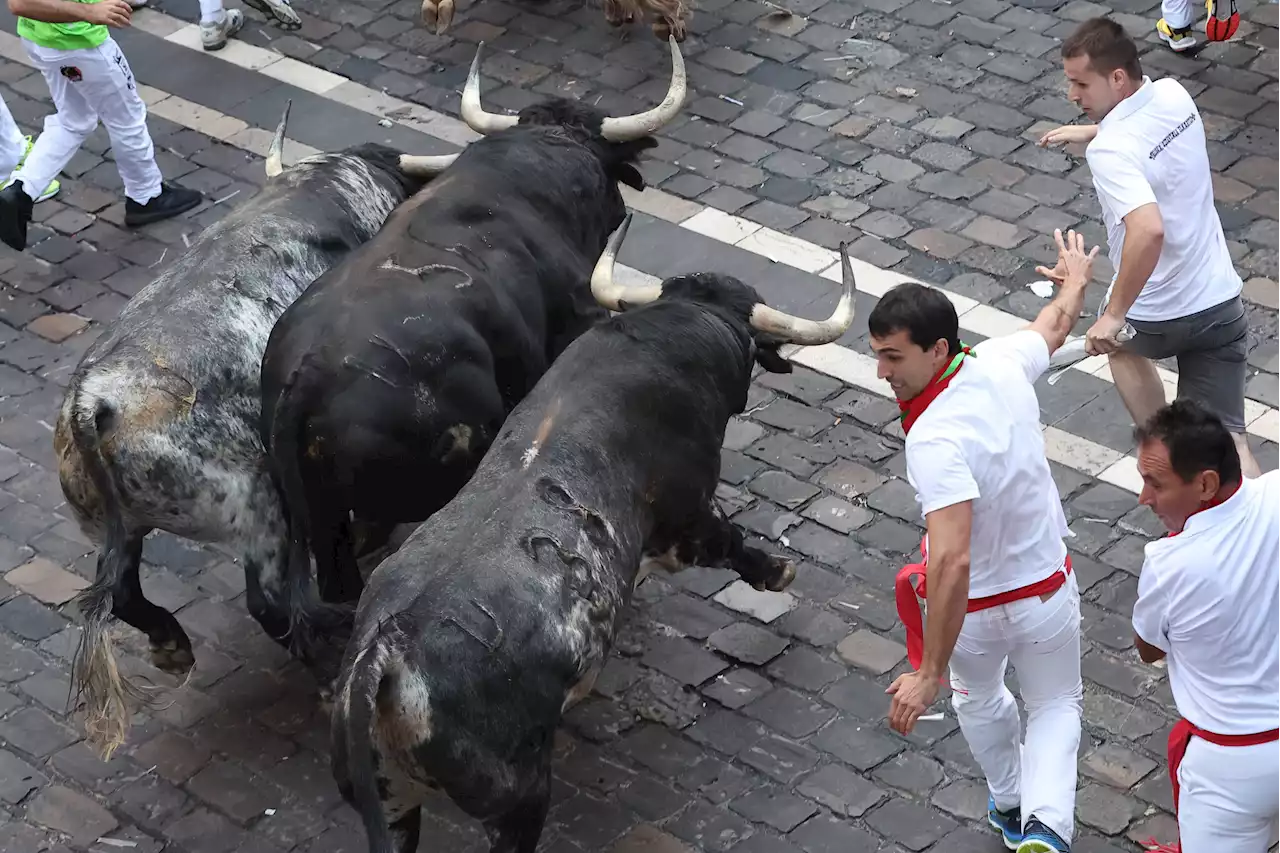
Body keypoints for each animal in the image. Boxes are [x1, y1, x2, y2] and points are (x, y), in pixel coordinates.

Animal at [56, 103, 465, 753]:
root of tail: (95, 401)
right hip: (258, 506)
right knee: (268, 601)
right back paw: (327, 659)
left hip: (112, 525)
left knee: (120, 589)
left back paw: (172, 646)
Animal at [330, 213, 855, 853]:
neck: (668, 340)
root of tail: (388, 650)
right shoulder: (689, 514)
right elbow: (727, 543)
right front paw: (777, 571)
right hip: (517, 795)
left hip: (394, 804)